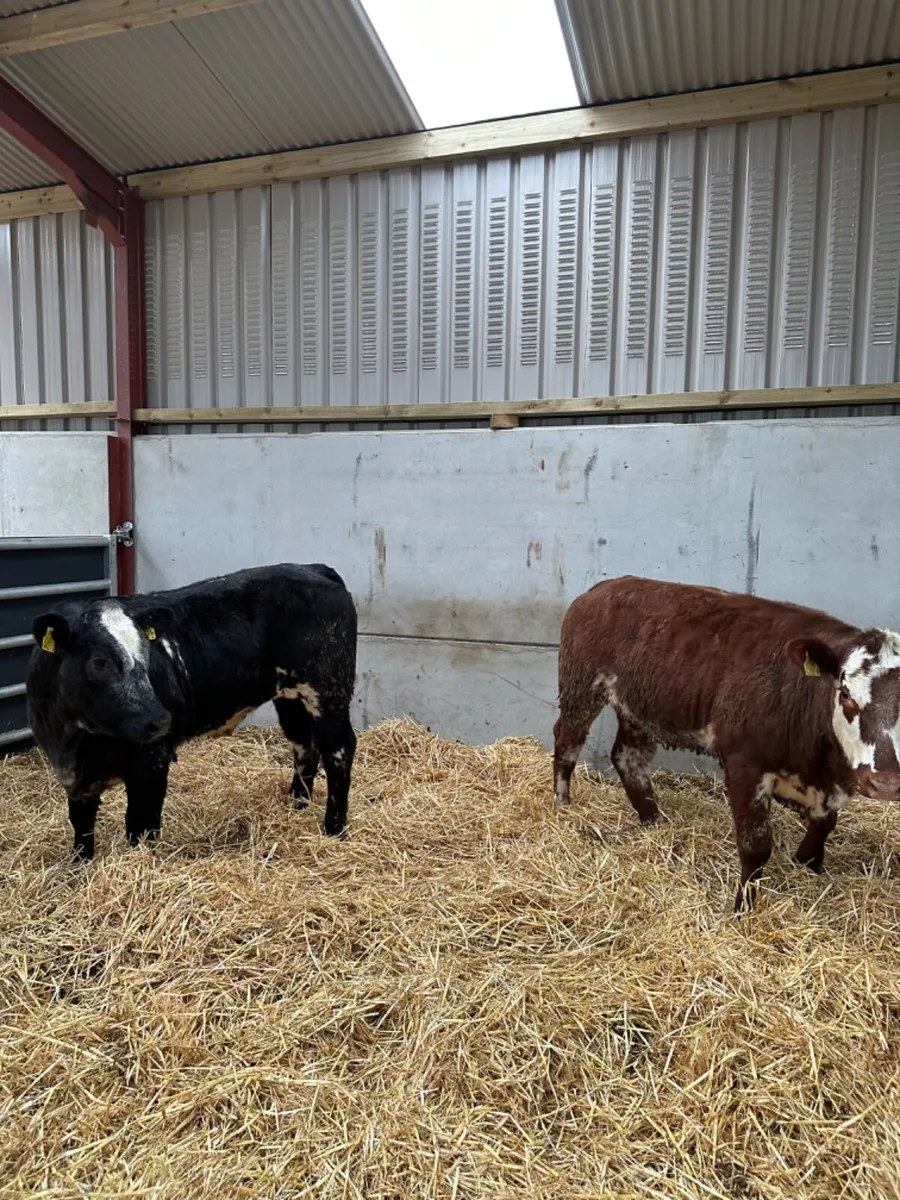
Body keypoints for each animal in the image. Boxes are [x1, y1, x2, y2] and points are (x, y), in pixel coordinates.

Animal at [26, 563, 357, 860]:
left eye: (147, 654)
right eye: (99, 662)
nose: (159, 720)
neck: (76, 741)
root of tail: (313, 568)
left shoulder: (152, 762)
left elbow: (141, 826)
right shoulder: (75, 779)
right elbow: (81, 827)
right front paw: (79, 869)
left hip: (328, 690)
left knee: (339, 749)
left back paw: (333, 829)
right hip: (290, 698)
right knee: (304, 747)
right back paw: (298, 806)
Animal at [553, 576, 900, 911]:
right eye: (846, 693)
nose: (885, 782)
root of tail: (605, 586)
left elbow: (825, 825)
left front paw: (807, 865)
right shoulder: (744, 762)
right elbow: (755, 846)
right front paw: (742, 909)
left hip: (637, 708)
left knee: (628, 758)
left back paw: (654, 820)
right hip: (581, 686)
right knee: (568, 741)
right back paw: (562, 802)